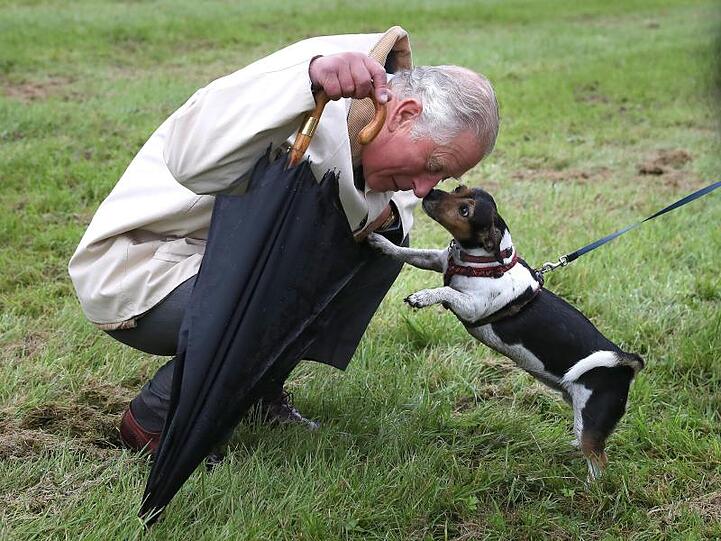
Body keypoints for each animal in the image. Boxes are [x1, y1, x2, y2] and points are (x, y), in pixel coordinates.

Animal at [368, 187, 644, 480]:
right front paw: (381, 242)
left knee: (599, 461)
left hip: (591, 421)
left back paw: (590, 486)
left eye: (465, 211)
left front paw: (423, 296)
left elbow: (447, 291)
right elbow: (409, 253)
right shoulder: (435, 260)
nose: (430, 192)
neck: (484, 261)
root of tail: (626, 363)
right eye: (459, 189)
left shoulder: (471, 306)